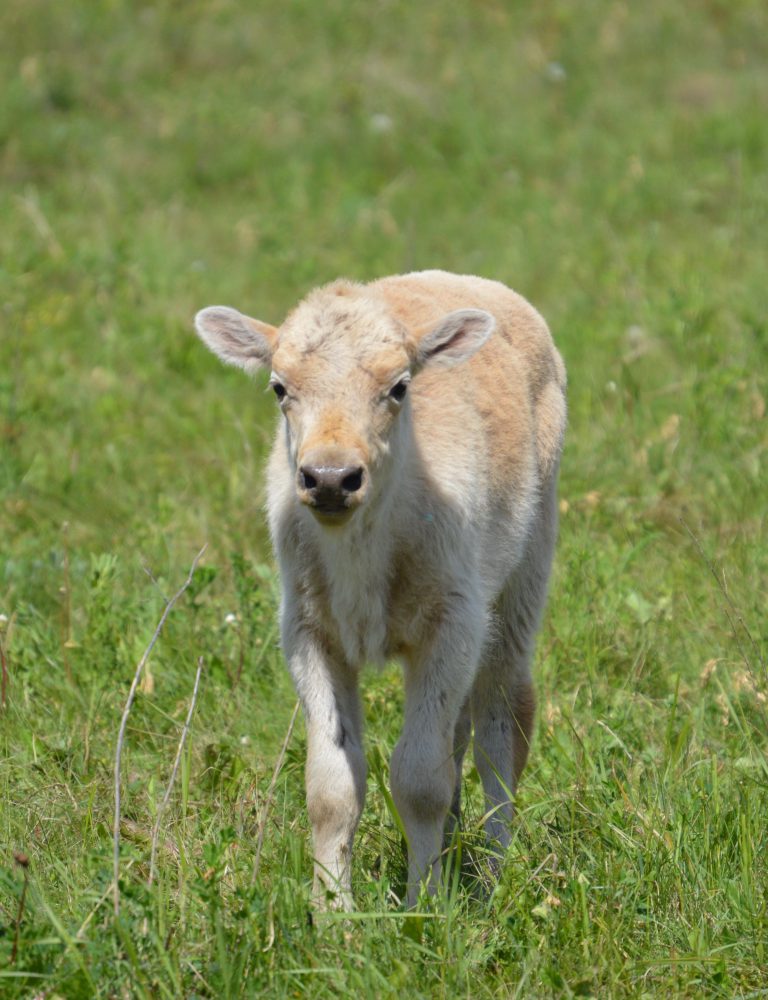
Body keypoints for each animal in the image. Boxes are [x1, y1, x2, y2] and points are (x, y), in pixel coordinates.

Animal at [195, 270, 568, 912]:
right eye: (278, 387)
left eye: (399, 387)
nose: (329, 479)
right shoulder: (309, 633)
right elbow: (331, 784)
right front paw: (332, 913)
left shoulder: (454, 623)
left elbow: (418, 777)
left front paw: (425, 909)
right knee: (461, 730)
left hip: (523, 578)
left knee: (502, 723)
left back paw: (490, 877)